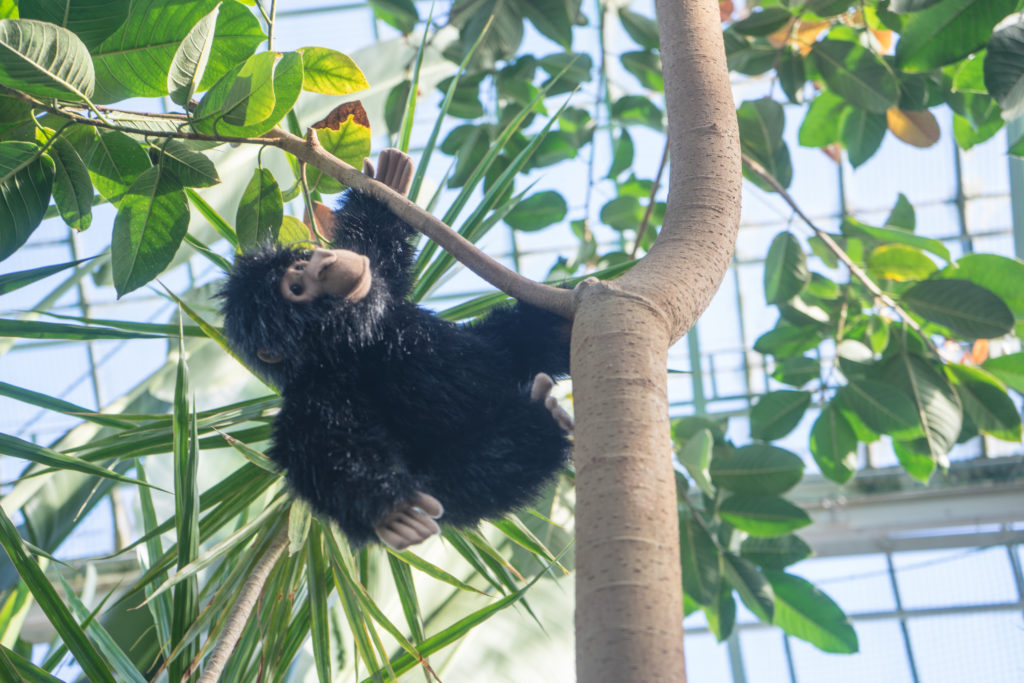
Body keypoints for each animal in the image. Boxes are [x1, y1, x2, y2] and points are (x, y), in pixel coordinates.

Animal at [220, 150, 573, 548]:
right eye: (295, 287)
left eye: (302, 263)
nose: (325, 261)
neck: (360, 343)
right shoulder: (316, 392)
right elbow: (325, 451)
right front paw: (390, 510)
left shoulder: (381, 295)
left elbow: (379, 251)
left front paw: (385, 186)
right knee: (486, 473)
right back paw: (542, 423)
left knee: (518, 337)